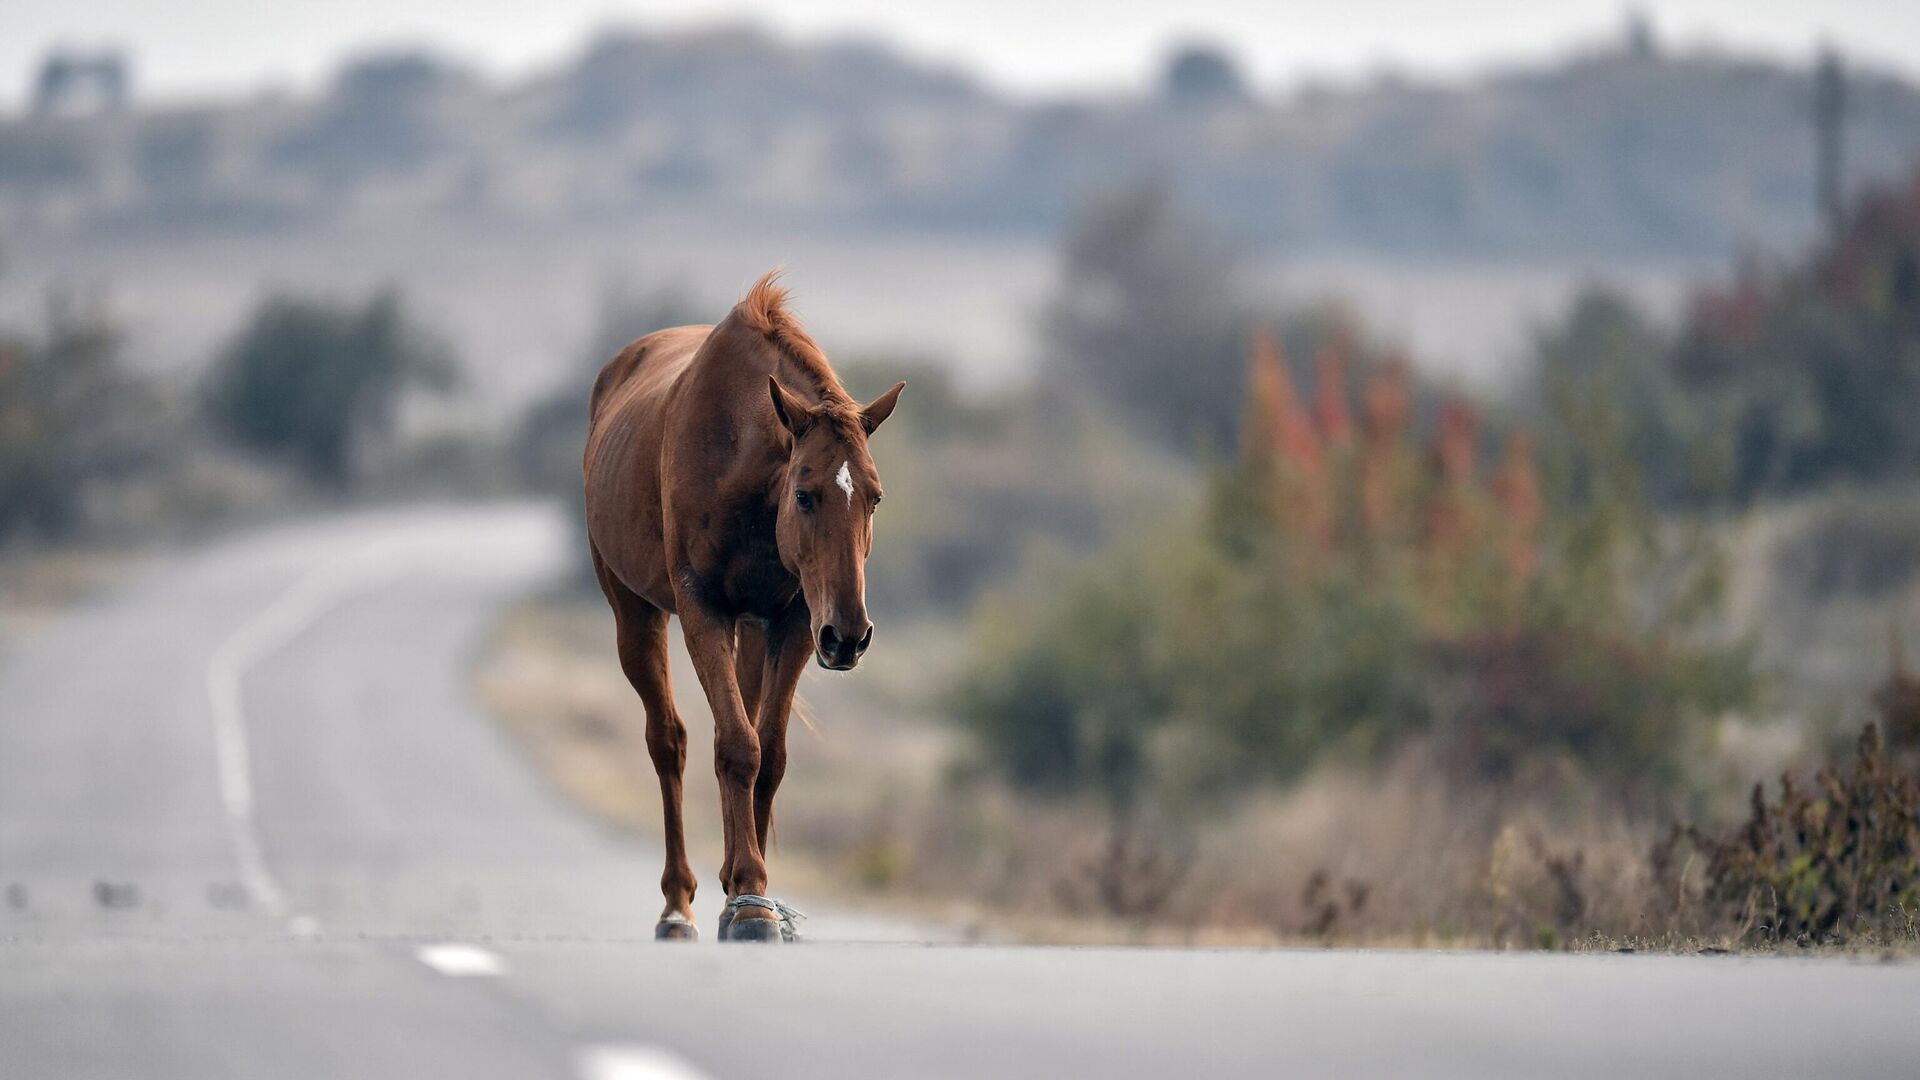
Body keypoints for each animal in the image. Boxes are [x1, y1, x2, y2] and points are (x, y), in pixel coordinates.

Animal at [579, 270, 902, 941]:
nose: (850, 636)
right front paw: (749, 899)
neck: (738, 453)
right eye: (805, 493)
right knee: (668, 741)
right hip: (634, 613)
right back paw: (678, 905)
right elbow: (735, 744)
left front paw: (750, 892)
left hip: (756, 629)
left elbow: (766, 750)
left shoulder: (795, 622)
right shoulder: (703, 609)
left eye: (876, 497)